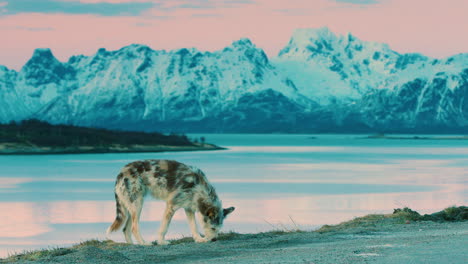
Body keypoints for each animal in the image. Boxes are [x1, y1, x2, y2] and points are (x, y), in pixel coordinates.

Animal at [107, 159, 236, 245]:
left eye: (219, 229)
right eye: (213, 228)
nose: (214, 240)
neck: (198, 186)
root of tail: (121, 173)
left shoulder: (188, 208)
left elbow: (194, 227)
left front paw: (198, 239)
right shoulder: (171, 206)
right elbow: (164, 228)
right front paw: (161, 242)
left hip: (131, 208)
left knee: (126, 229)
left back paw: (134, 245)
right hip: (138, 205)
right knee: (134, 228)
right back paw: (144, 243)